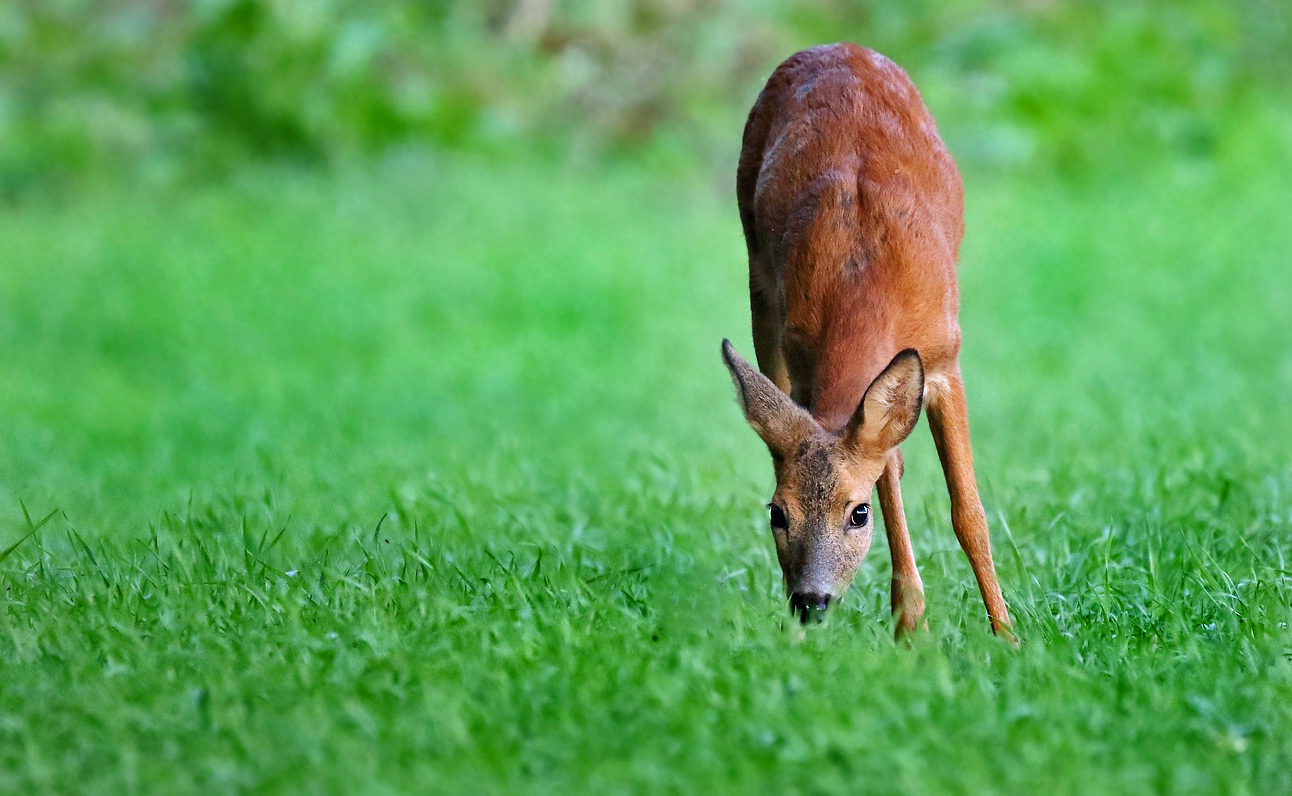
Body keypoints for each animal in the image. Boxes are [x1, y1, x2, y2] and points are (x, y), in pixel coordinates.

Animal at [723, 41, 1012, 640]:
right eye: (777, 513)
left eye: (858, 514)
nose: (811, 601)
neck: (867, 287)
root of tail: (837, 45)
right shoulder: (805, 354)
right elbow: (886, 468)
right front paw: (910, 620)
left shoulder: (944, 358)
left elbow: (968, 512)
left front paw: (1009, 635)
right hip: (760, 289)